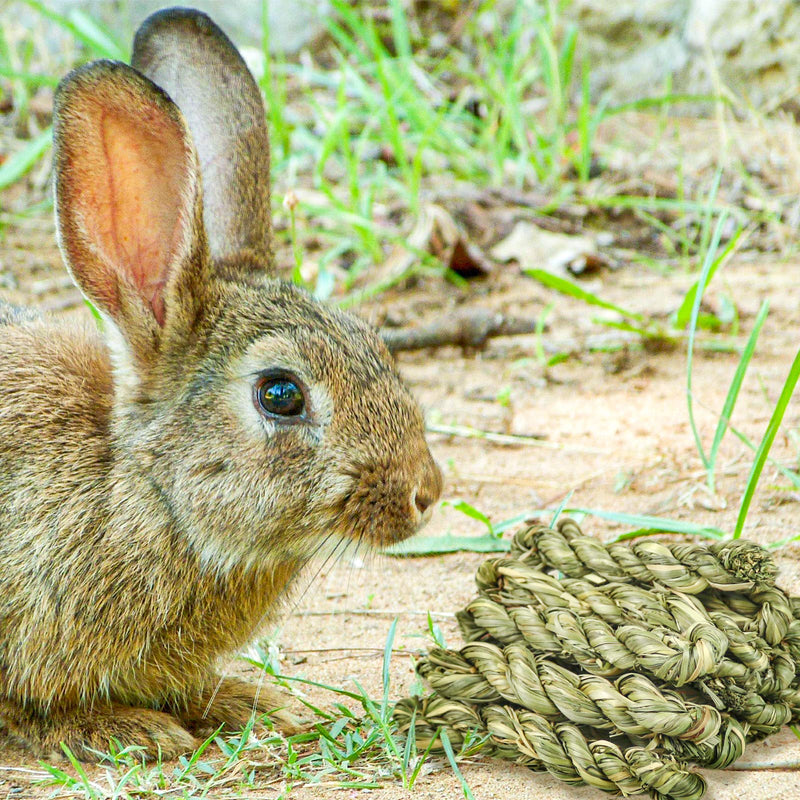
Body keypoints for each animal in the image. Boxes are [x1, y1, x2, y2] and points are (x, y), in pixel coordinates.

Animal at [0, 6, 444, 760]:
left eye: (372, 340)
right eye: (281, 394)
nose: (426, 492)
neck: (139, 489)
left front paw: (251, 704)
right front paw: (124, 727)